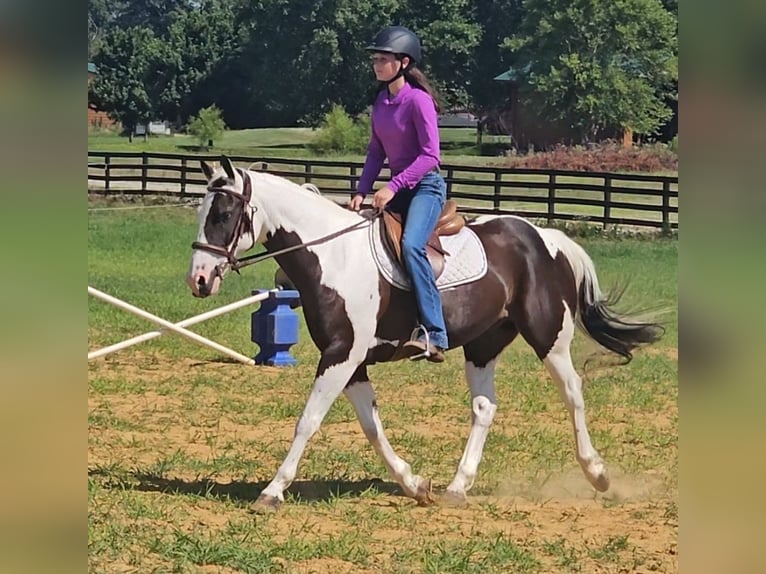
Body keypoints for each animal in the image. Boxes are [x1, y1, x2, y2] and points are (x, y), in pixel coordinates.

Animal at [187, 156, 662, 512]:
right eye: (202, 212)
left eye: (224, 214)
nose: (199, 279)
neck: (334, 256)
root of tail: (544, 237)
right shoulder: (353, 361)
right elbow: (371, 426)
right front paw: (415, 484)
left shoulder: (341, 355)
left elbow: (308, 421)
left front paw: (272, 491)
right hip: (483, 344)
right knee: (485, 407)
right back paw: (458, 487)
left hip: (549, 337)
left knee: (573, 393)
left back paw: (597, 474)